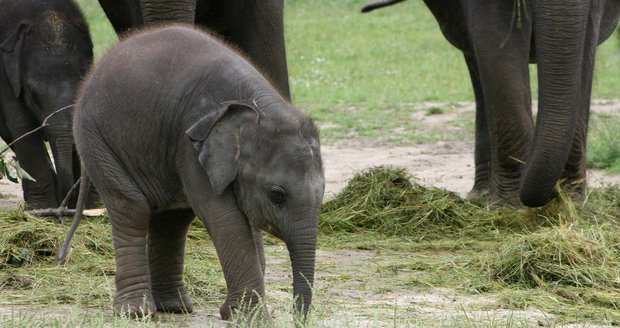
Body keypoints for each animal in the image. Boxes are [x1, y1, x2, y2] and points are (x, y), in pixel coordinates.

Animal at [72, 25, 324, 320]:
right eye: (277, 195)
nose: (299, 319)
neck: (258, 109)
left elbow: (245, 220)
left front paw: (237, 314)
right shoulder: (191, 145)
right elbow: (225, 218)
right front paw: (252, 317)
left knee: (173, 219)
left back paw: (174, 307)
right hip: (96, 140)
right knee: (132, 209)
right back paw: (136, 312)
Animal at [364, 0, 620, 208]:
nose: (552, 196)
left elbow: (586, 47)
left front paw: (571, 203)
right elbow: (497, 39)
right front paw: (509, 207)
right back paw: (482, 195)